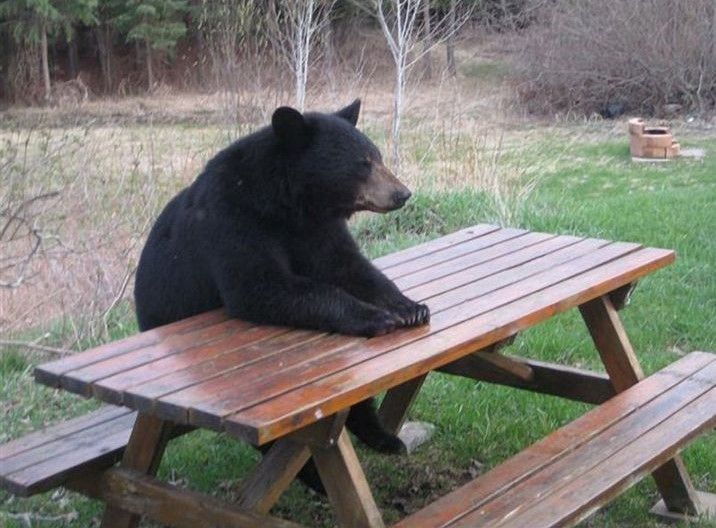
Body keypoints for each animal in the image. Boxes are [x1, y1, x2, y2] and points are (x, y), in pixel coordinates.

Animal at [134, 100, 430, 489]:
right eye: (363, 163)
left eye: (377, 156)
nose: (403, 193)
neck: (288, 203)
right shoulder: (232, 219)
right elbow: (262, 285)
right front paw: (376, 317)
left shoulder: (317, 228)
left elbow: (349, 266)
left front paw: (410, 307)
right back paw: (314, 476)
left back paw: (382, 437)